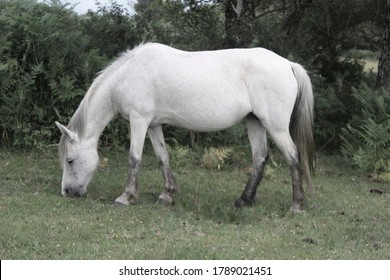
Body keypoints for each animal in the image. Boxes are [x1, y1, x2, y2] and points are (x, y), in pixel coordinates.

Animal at [56, 42, 316, 212]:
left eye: (70, 160)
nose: (66, 192)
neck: (127, 74)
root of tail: (288, 64)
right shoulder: (153, 125)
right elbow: (162, 157)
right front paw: (167, 194)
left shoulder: (138, 120)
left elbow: (134, 158)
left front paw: (126, 197)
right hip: (255, 123)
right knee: (260, 158)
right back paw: (244, 200)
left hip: (276, 127)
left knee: (293, 157)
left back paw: (296, 205)